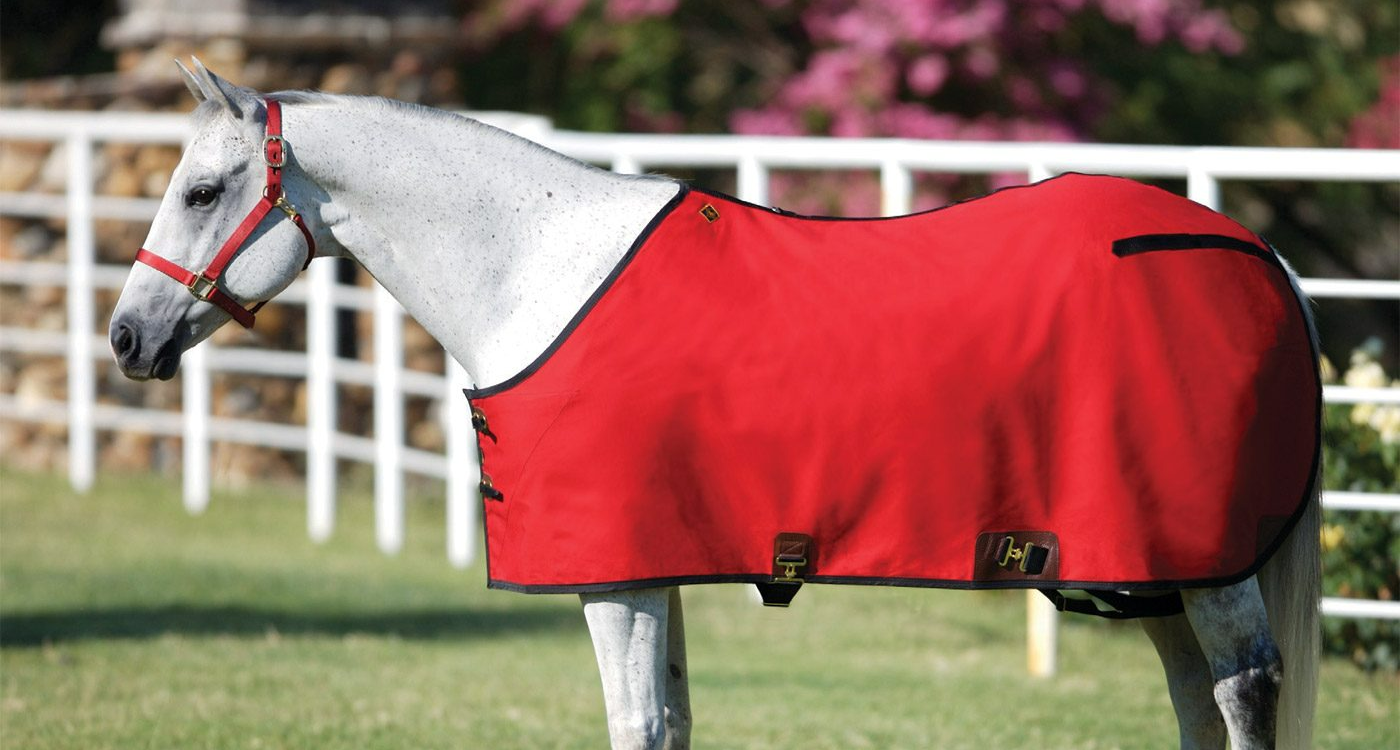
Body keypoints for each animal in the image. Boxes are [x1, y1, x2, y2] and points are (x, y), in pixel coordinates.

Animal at [109, 61, 1321, 750]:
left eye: (203, 189)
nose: (126, 338)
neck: (540, 269)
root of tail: (1250, 250)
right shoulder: (655, 561)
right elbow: (673, 721)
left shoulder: (617, 571)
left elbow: (639, 725)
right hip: (1150, 567)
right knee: (1195, 699)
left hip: (1200, 559)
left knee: (1243, 692)